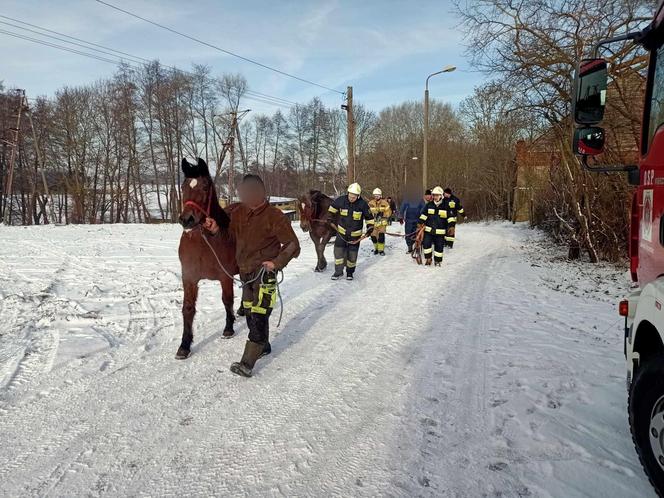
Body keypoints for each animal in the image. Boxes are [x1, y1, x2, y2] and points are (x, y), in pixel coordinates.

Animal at [176, 158, 239, 360]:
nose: (187, 219)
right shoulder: (189, 277)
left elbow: (227, 300)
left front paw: (228, 328)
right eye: (183, 186)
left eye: (205, 187)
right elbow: (188, 308)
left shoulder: (225, 277)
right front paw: (184, 345)